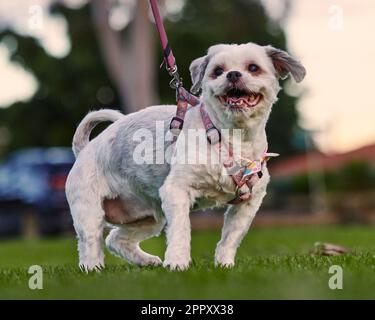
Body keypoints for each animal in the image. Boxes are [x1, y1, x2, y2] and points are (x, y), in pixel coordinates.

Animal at [65, 42, 306, 272]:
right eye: (218, 71)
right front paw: (177, 263)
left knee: (115, 239)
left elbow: (230, 239)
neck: (229, 137)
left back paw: (147, 261)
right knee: (91, 244)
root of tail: (84, 149)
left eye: (253, 68)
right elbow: (181, 231)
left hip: (149, 217)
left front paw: (225, 265)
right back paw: (93, 269)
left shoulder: (248, 203)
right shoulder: (176, 191)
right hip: (89, 212)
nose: (233, 74)